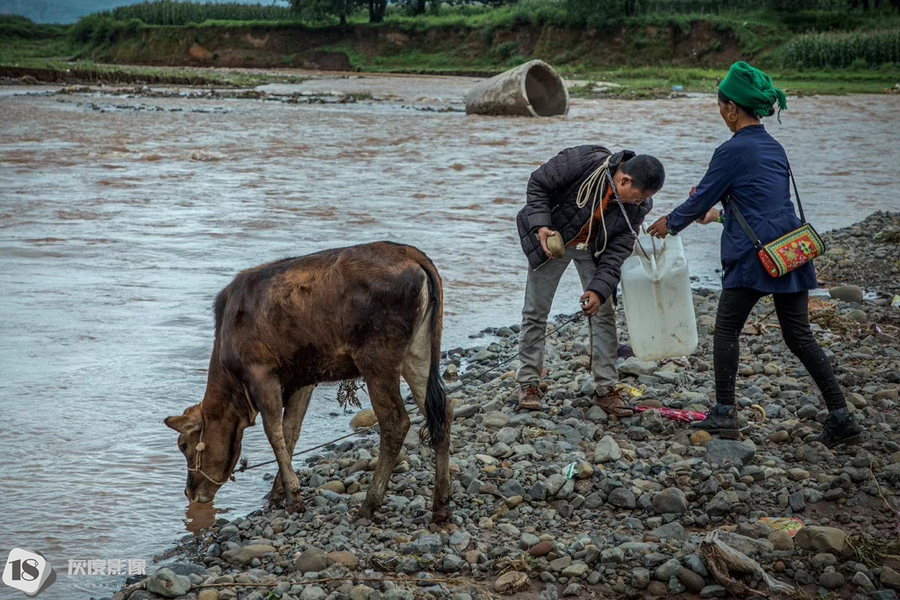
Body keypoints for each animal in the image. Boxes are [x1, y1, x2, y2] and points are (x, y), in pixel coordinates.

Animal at [163, 241, 450, 524]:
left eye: (183, 445)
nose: (190, 492)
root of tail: (411, 253)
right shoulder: (303, 379)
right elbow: (291, 431)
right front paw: (278, 494)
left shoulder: (261, 371)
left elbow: (274, 432)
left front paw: (293, 497)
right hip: (418, 353)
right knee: (441, 414)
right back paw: (441, 506)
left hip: (377, 358)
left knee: (395, 422)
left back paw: (369, 505)